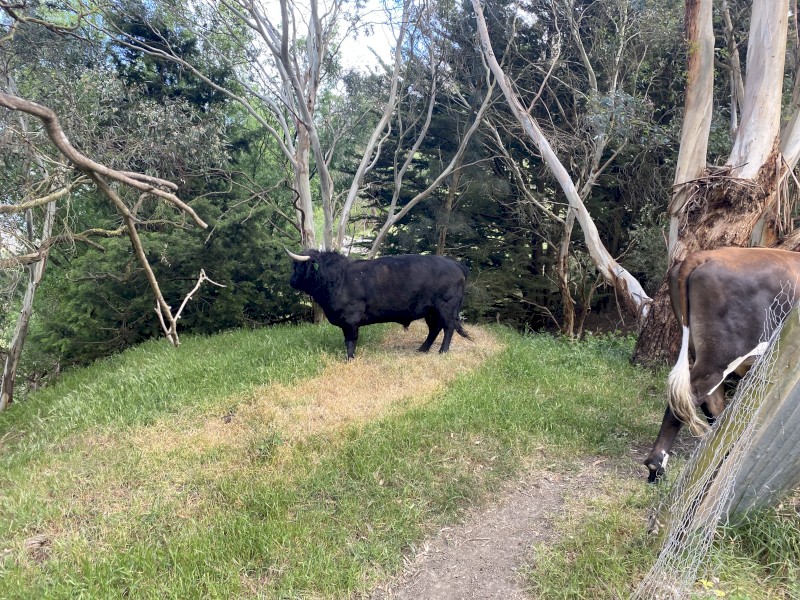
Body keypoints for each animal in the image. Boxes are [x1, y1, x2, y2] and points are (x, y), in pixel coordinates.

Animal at [286, 249, 471, 360]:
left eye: (298, 267)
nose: (291, 281)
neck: (339, 278)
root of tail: (454, 263)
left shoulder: (351, 317)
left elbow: (350, 340)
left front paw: (349, 358)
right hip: (431, 310)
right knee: (435, 328)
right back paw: (422, 349)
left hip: (446, 306)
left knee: (448, 327)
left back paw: (443, 351)